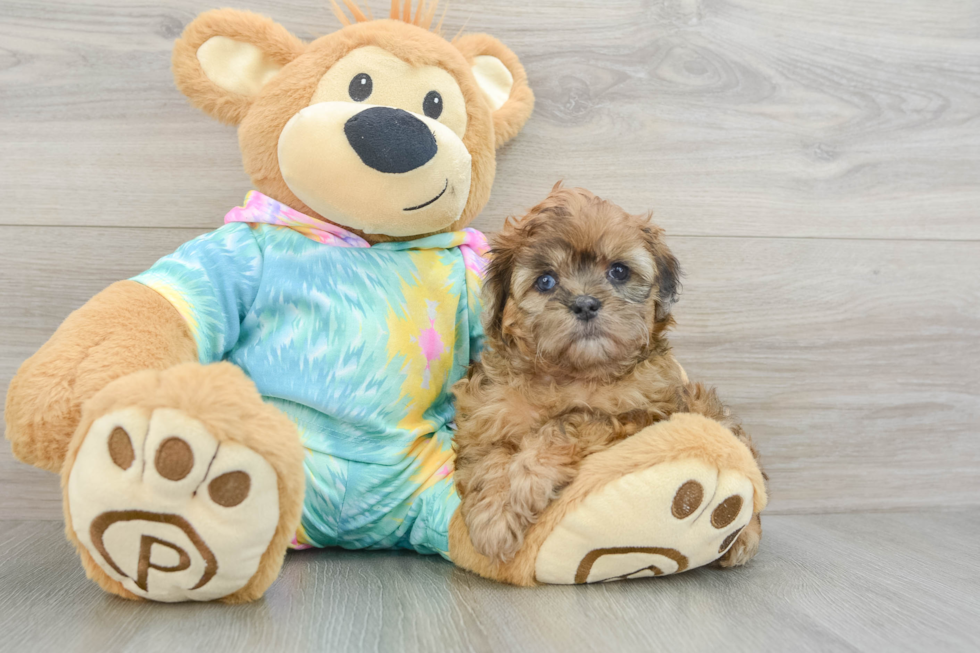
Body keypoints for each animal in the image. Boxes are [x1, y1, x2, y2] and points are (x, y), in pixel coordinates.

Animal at [452, 185, 764, 564]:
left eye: (618, 271)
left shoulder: (642, 414)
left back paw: (741, 537)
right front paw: (495, 516)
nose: (585, 303)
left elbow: (568, 423)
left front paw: (519, 487)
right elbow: (489, 460)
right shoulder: (484, 421)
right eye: (545, 281)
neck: (573, 373)